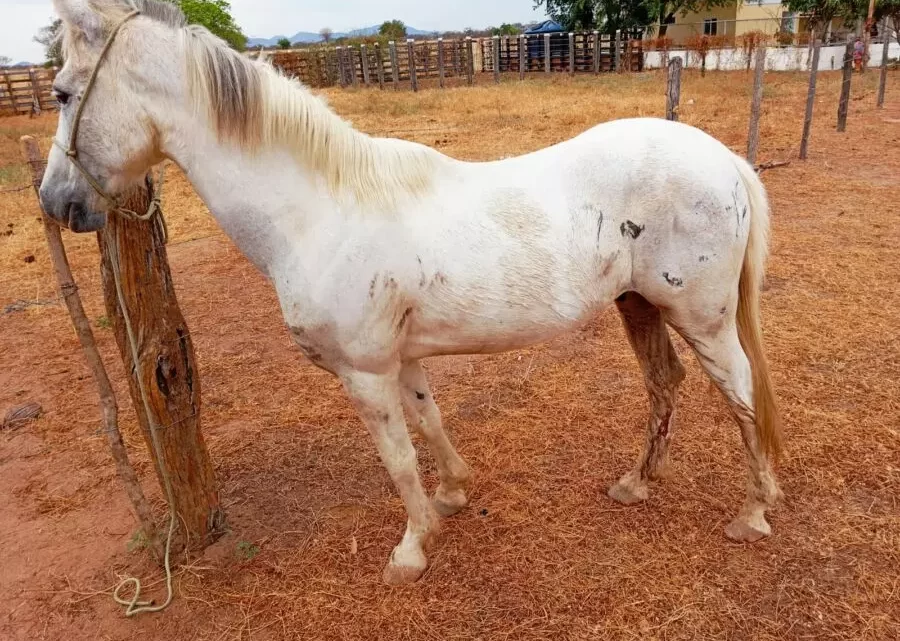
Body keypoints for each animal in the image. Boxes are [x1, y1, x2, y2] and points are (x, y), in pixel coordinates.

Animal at [42, 0, 780, 584]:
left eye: (61, 92)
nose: (56, 203)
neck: (318, 210)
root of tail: (723, 160)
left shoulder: (364, 372)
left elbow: (396, 458)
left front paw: (412, 548)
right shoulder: (403, 358)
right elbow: (429, 421)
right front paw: (452, 494)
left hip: (702, 318)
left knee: (742, 396)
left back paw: (753, 512)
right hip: (640, 307)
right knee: (665, 383)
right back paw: (636, 483)